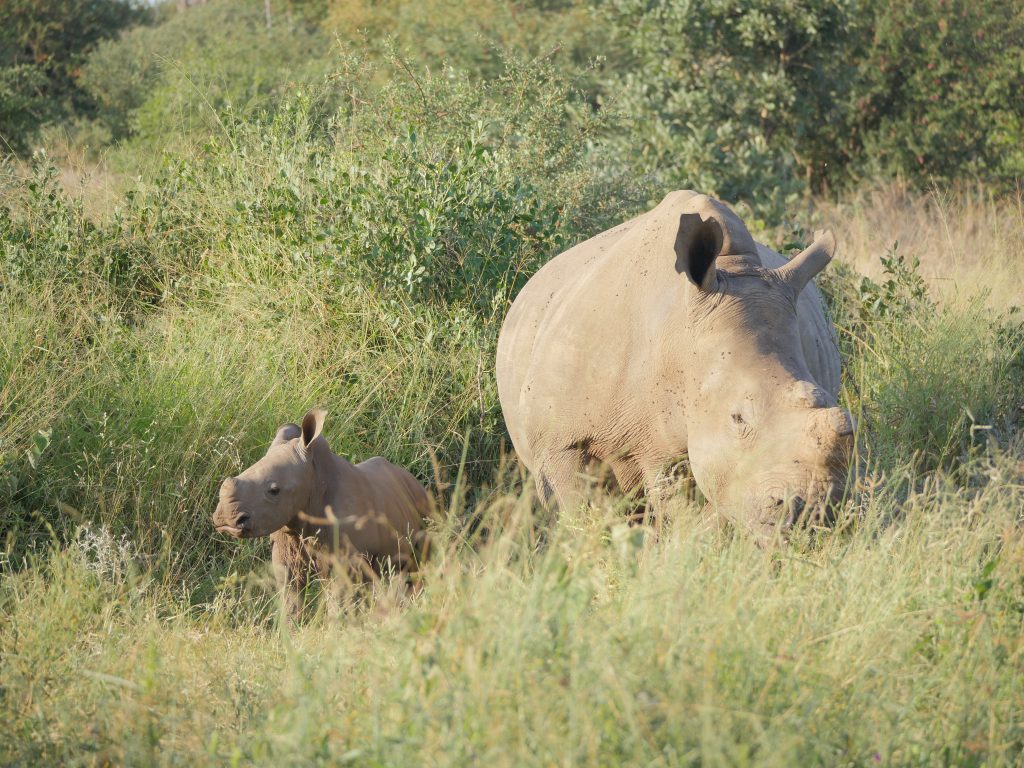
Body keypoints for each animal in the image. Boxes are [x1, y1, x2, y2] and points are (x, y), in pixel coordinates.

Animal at [212, 409, 431, 614]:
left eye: (274, 490)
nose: (225, 518)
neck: (314, 481)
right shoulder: (287, 547)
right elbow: (291, 597)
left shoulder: (345, 558)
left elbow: (338, 600)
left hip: (423, 502)